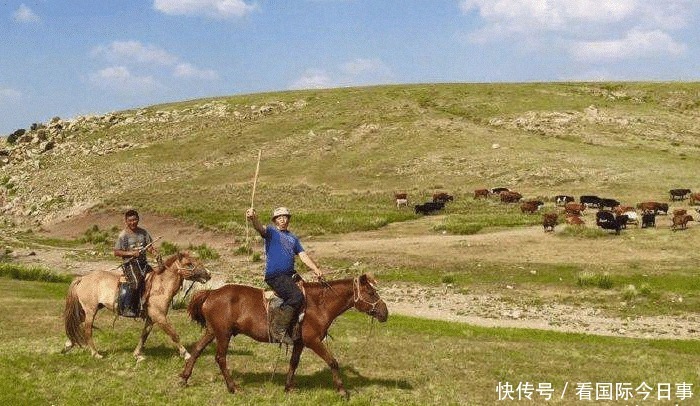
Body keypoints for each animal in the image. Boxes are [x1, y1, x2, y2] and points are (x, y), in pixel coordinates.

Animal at [62, 252, 211, 360]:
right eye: (189, 264)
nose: (208, 274)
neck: (160, 286)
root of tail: (82, 278)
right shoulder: (159, 317)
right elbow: (174, 334)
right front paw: (186, 354)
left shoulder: (151, 318)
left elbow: (144, 335)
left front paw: (137, 354)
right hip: (90, 311)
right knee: (87, 330)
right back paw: (95, 354)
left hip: (87, 310)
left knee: (76, 324)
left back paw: (69, 345)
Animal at [180, 273, 389, 398]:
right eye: (371, 292)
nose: (385, 312)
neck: (318, 305)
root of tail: (211, 293)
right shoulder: (313, 341)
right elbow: (332, 361)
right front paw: (342, 390)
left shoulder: (299, 343)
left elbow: (293, 363)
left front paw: (288, 387)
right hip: (223, 334)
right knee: (220, 358)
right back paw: (233, 387)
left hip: (212, 331)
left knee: (196, 351)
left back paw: (184, 378)